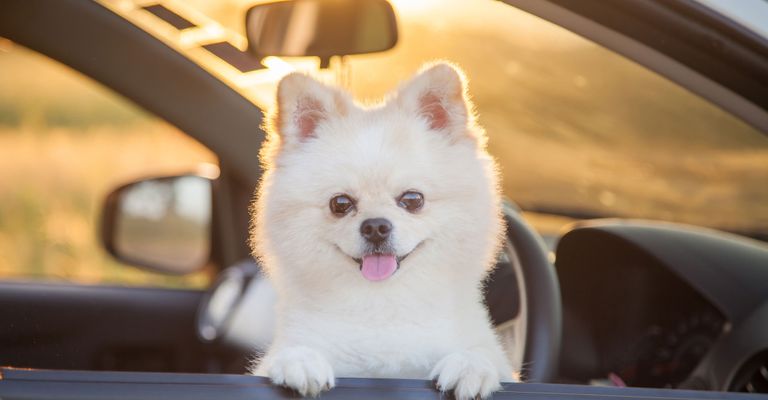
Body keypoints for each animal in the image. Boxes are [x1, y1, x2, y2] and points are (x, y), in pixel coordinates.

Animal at [252, 61, 516, 398]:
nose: (375, 226)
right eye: (340, 203)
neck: (383, 305)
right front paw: (300, 359)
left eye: (412, 199)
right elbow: (293, 351)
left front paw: (471, 365)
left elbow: (482, 355)